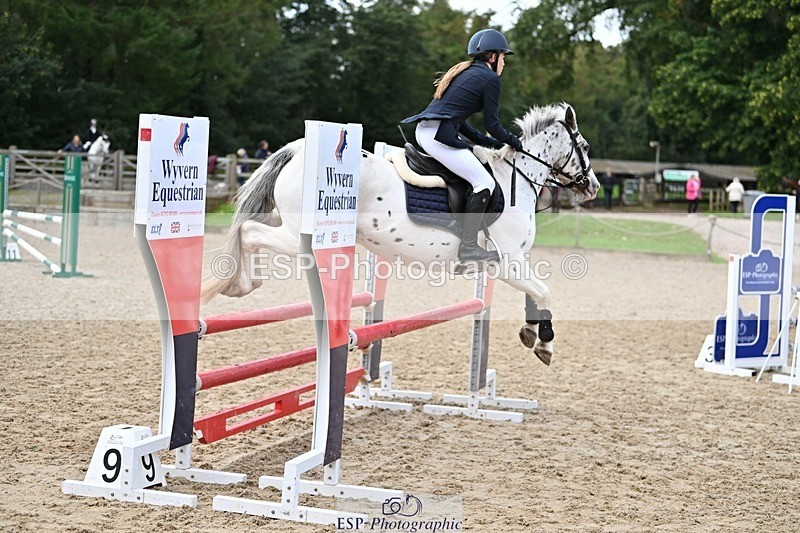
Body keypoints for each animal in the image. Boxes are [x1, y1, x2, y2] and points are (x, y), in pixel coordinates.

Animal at [203, 103, 599, 364]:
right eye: (585, 148)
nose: (592, 186)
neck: (513, 179)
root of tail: (298, 149)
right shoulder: (506, 263)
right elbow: (544, 292)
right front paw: (544, 343)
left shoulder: (516, 262)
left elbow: (535, 294)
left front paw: (531, 332)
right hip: (299, 237)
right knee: (250, 231)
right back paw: (242, 284)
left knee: (251, 228)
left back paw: (241, 283)